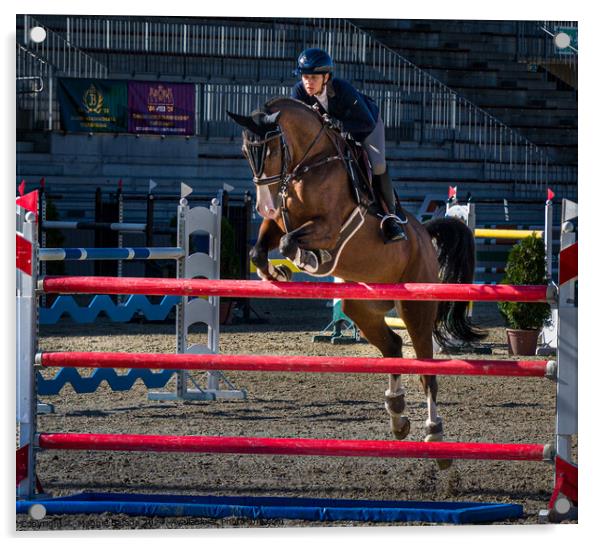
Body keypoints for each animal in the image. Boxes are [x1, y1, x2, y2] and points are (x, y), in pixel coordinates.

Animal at [226, 95, 482, 466]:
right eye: (246, 152)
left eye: (272, 149)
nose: (264, 205)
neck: (309, 163)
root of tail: (423, 234)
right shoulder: (280, 221)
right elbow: (260, 250)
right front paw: (277, 272)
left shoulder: (328, 226)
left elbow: (290, 243)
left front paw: (307, 261)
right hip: (362, 306)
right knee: (393, 346)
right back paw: (398, 415)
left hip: (416, 309)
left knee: (427, 372)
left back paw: (435, 435)